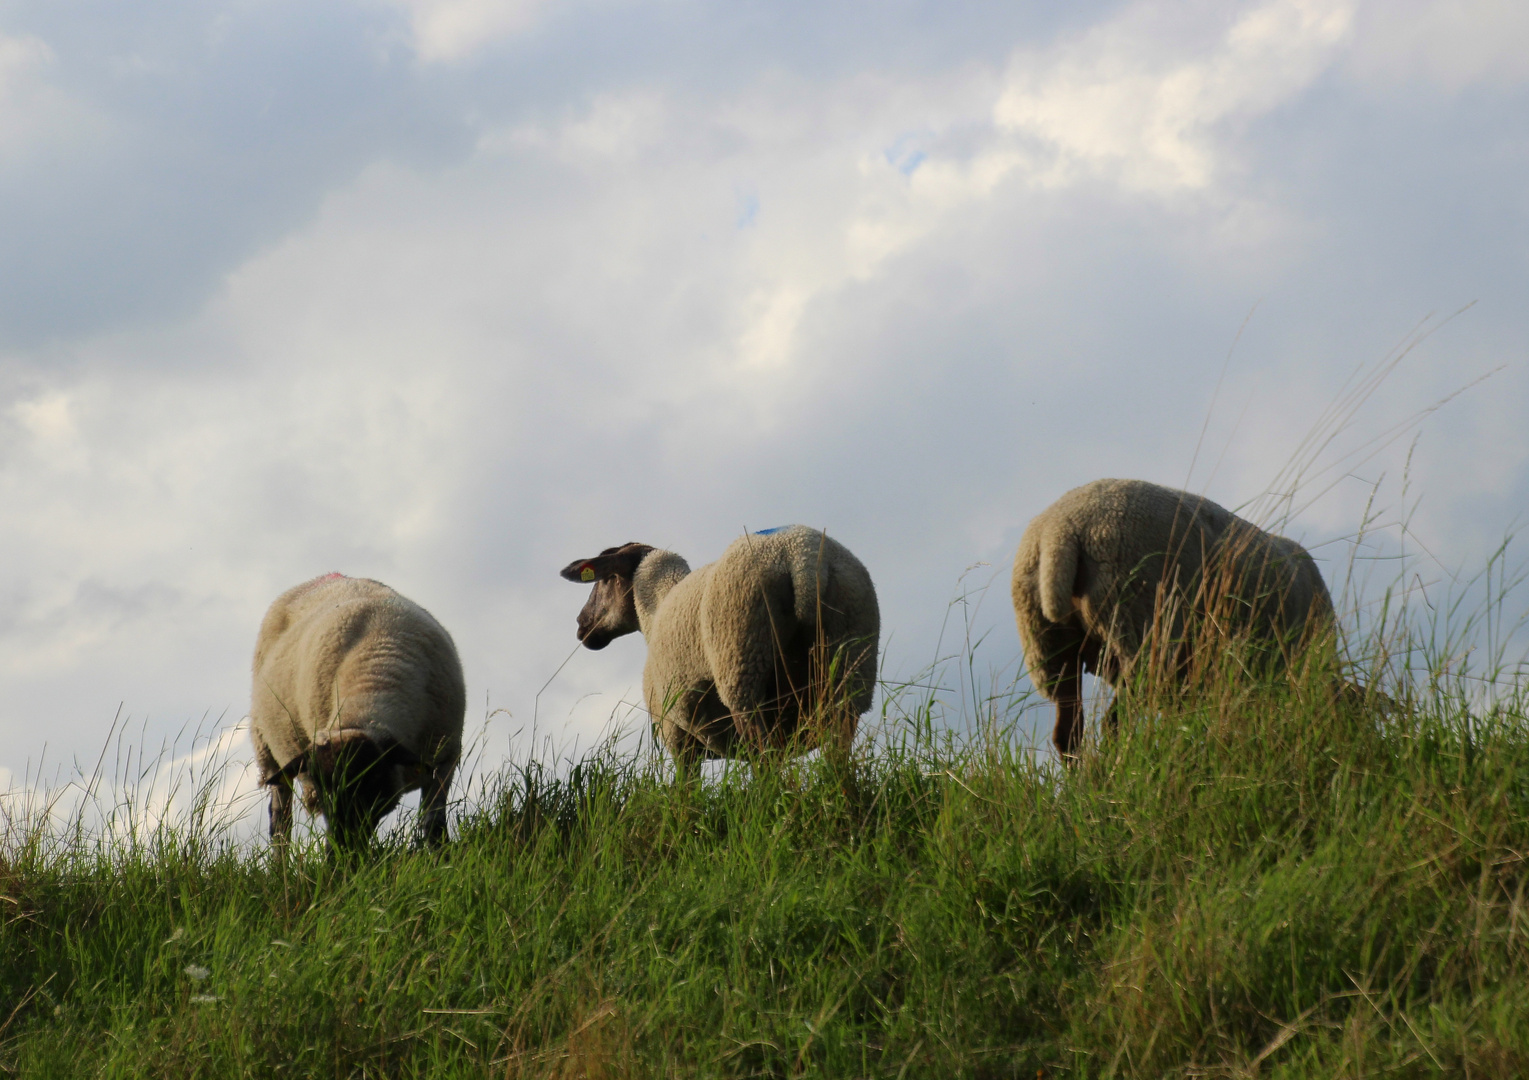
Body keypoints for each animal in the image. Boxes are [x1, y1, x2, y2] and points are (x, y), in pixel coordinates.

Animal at [247, 572, 464, 850]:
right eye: (324, 787)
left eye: (371, 782)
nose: (342, 850)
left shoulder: (445, 760)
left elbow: (434, 825)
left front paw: (441, 854)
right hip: (268, 752)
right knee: (280, 821)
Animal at [562, 520, 880, 758]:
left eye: (604, 580)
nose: (581, 625)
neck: (656, 606)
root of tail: (802, 555)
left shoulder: (676, 734)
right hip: (852, 668)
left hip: (741, 669)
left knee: (765, 761)